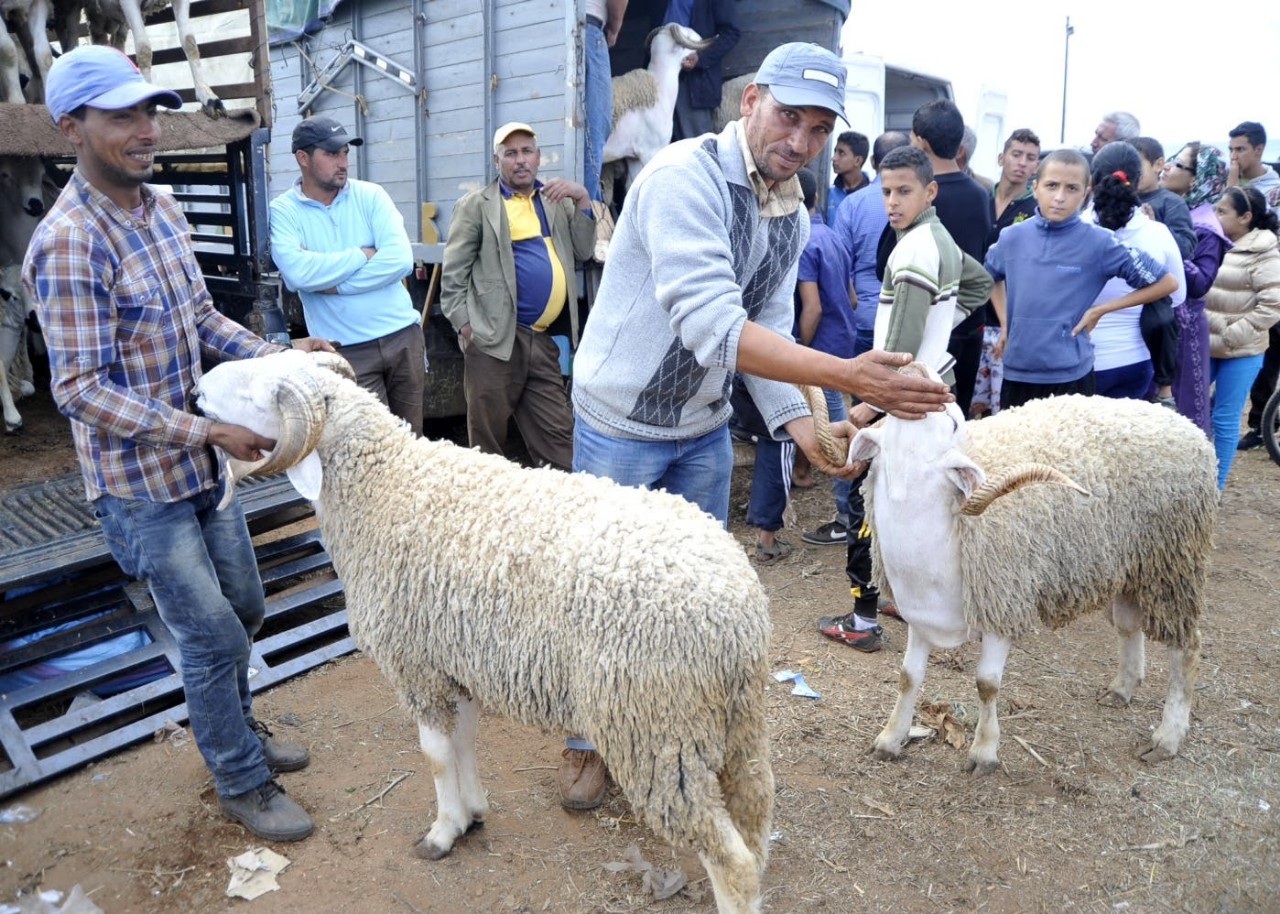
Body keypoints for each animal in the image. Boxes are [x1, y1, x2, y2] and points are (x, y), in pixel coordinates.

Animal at [197, 348, 778, 911]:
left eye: (257, 396)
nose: (198, 390)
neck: (385, 486)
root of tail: (737, 610)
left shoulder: (416, 666)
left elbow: (434, 756)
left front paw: (443, 831)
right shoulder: (456, 660)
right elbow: (465, 741)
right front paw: (473, 812)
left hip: (653, 726)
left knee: (732, 861)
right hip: (733, 724)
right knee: (755, 819)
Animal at [844, 360, 1213, 768]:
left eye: (953, 422)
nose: (914, 367)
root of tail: (1181, 422)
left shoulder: (1003, 606)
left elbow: (987, 685)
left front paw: (984, 751)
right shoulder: (920, 615)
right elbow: (908, 676)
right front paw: (891, 738)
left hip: (1173, 562)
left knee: (1187, 646)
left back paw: (1169, 733)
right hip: (1130, 564)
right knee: (1129, 625)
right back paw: (1123, 687)